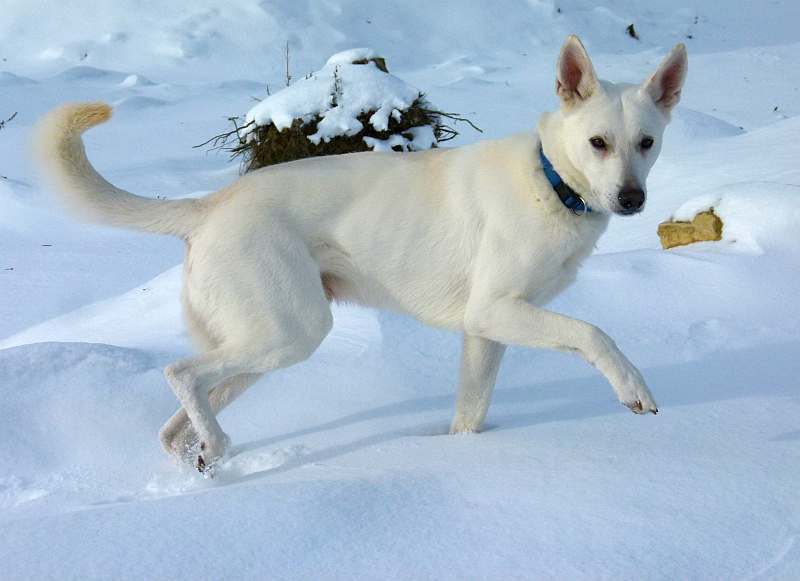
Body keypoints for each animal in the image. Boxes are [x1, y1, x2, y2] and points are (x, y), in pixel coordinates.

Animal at [36, 35, 688, 472]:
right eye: (597, 143)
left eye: (647, 143)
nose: (632, 199)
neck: (550, 182)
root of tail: (211, 204)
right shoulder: (497, 311)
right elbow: (595, 334)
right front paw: (634, 390)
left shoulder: (486, 332)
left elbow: (470, 416)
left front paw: (464, 458)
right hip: (291, 331)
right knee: (180, 374)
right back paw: (216, 446)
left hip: (259, 343)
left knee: (175, 423)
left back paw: (202, 461)